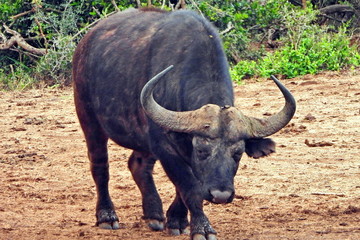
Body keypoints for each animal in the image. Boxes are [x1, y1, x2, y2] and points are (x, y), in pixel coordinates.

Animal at [72, 7, 296, 240]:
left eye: (238, 153)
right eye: (201, 151)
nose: (221, 195)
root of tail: (85, 43)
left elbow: (184, 188)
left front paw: (177, 220)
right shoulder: (166, 148)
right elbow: (190, 187)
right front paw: (202, 228)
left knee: (138, 164)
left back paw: (154, 214)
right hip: (89, 121)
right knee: (100, 166)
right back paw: (107, 216)